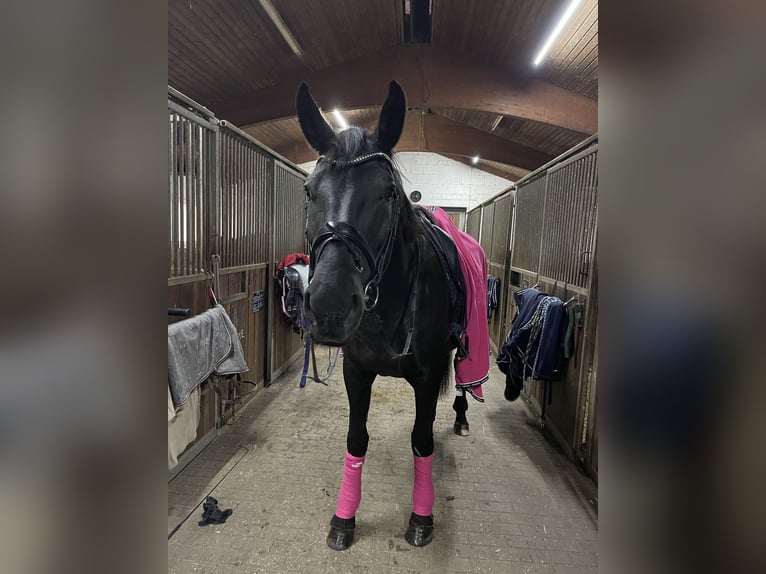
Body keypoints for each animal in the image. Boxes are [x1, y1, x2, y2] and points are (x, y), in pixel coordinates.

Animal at [298, 79, 474, 552]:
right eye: (309, 190)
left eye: (388, 193)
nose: (330, 308)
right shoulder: (356, 371)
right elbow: (356, 439)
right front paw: (344, 519)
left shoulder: (428, 376)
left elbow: (422, 441)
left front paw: (421, 518)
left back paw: (462, 418)